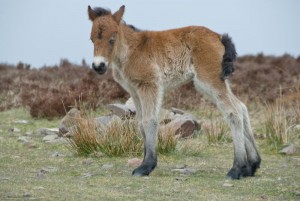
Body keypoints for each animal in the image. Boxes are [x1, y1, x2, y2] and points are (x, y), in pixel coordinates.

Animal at [86, 5, 260, 179]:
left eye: (112, 38)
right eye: (91, 39)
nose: (98, 66)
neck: (132, 50)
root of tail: (218, 36)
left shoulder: (149, 85)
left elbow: (149, 120)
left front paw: (146, 166)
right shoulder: (134, 91)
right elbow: (140, 122)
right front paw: (145, 162)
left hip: (209, 81)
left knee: (233, 112)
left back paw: (237, 168)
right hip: (216, 82)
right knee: (241, 107)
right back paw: (252, 165)